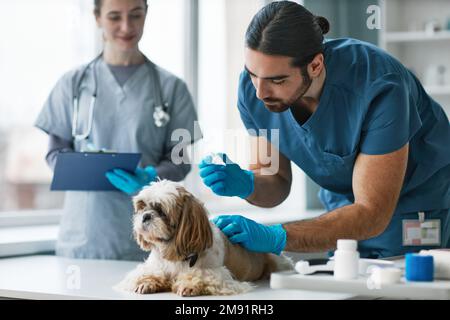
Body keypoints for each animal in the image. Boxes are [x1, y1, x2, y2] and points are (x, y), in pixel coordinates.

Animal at [114, 179, 294, 296]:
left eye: (162, 211)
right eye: (142, 207)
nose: (146, 216)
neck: (175, 255)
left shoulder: (217, 275)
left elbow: (201, 276)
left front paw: (189, 285)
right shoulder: (153, 266)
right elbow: (148, 273)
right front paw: (146, 282)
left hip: (278, 263)